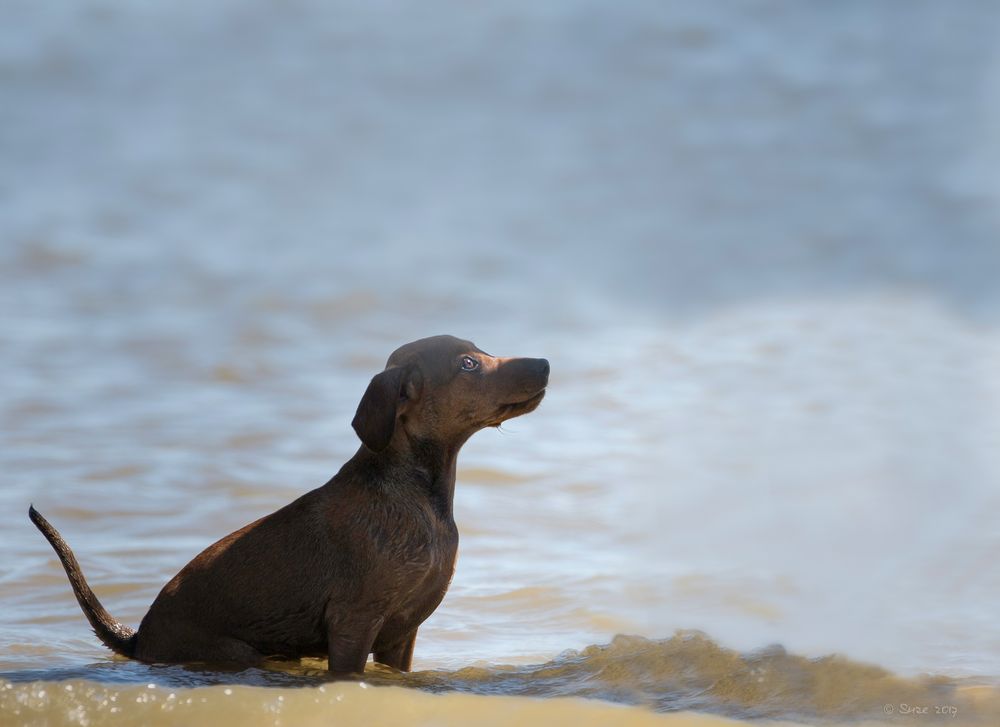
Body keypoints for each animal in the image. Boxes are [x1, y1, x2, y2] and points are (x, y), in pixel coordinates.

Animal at [31, 338, 548, 672]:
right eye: (468, 364)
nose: (544, 362)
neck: (422, 498)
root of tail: (138, 639)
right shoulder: (352, 625)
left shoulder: (401, 637)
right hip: (240, 654)